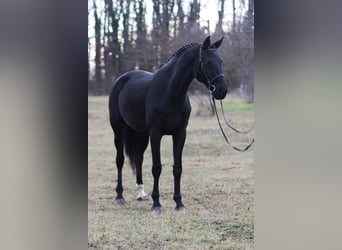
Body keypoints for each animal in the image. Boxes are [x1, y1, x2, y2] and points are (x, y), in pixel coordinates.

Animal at [109, 35, 227, 211]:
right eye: (207, 62)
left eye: (220, 61)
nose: (222, 90)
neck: (170, 93)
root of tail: (121, 79)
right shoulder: (155, 134)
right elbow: (156, 168)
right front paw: (157, 204)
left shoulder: (180, 133)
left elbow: (177, 168)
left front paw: (179, 203)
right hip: (119, 130)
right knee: (120, 160)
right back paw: (119, 196)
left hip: (141, 134)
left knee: (138, 158)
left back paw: (141, 193)